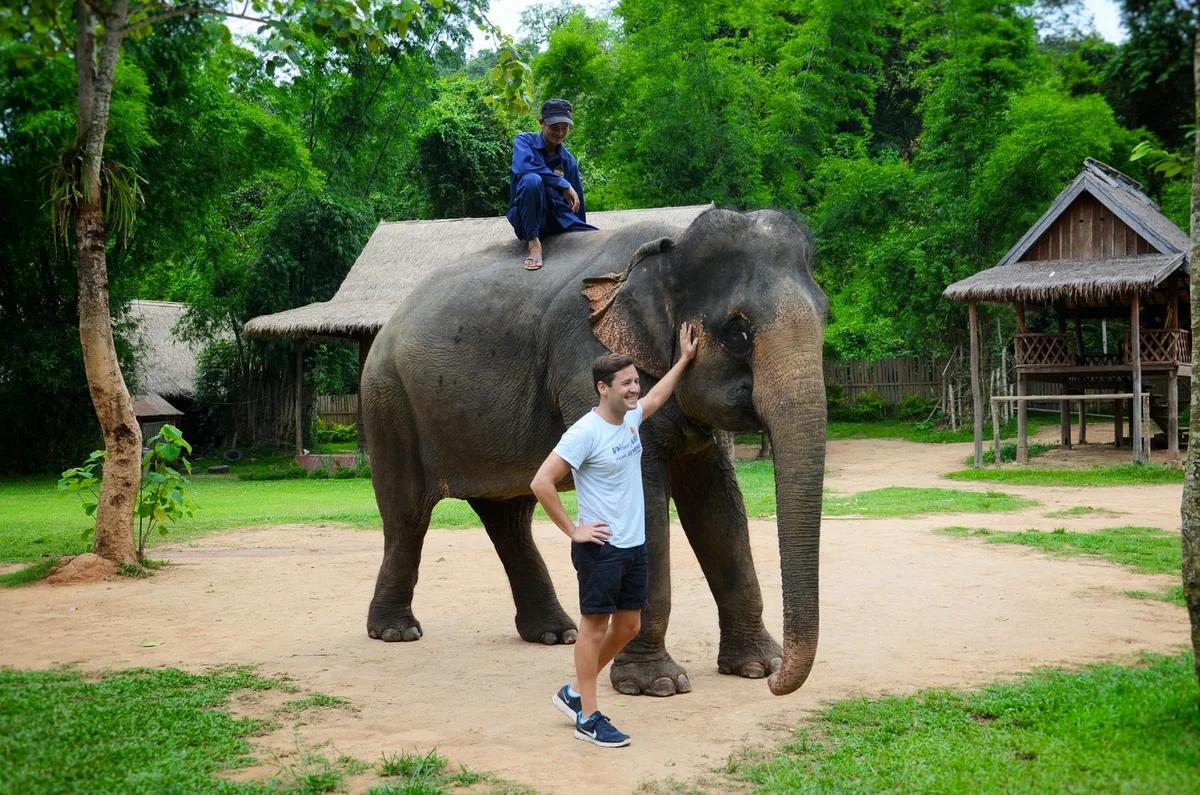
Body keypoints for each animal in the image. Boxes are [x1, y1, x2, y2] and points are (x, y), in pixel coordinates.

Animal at [361, 207, 827, 697]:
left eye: (825, 315)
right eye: (738, 331)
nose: (777, 683)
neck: (671, 249)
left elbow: (717, 505)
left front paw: (754, 666)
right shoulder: (588, 361)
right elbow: (647, 501)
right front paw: (656, 685)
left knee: (509, 517)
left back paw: (556, 633)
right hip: (389, 402)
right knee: (408, 514)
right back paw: (397, 631)